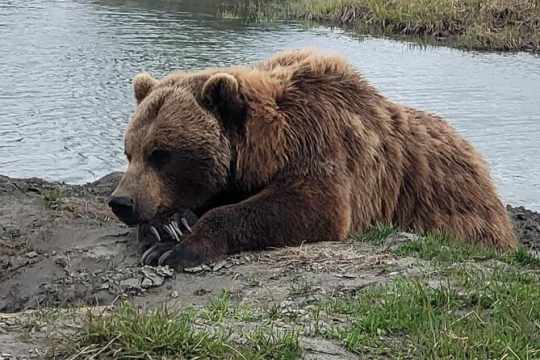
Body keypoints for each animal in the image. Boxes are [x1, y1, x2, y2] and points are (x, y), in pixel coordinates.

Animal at [107, 47, 516, 268]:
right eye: (129, 151)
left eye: (162, 153)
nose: (121, 202)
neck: (269, 145)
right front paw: (168, 226)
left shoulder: (322, 142)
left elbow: (310, 206)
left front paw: (172, 249)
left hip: (457, 212)